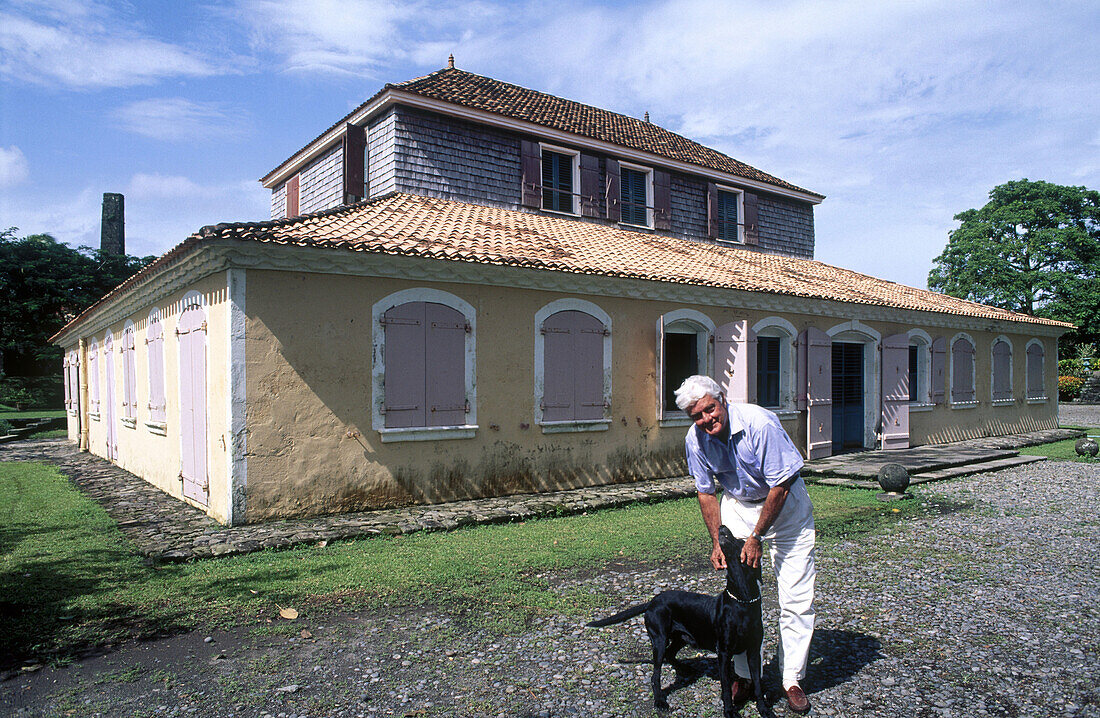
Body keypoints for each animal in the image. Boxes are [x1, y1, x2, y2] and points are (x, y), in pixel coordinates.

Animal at [585, 521, 774, 716]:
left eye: (741, 540)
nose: (721, 526)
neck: (742, 600)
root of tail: (653, 601)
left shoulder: (753, 652)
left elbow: (757, 684)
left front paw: (763, 709)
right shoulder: (723, 652)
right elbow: (727, 688)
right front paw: (729, 711)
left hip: (681, 638)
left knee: (670, 655)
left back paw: (684, 668)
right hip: (659, 640)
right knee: (655, 675)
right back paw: (660, 701)